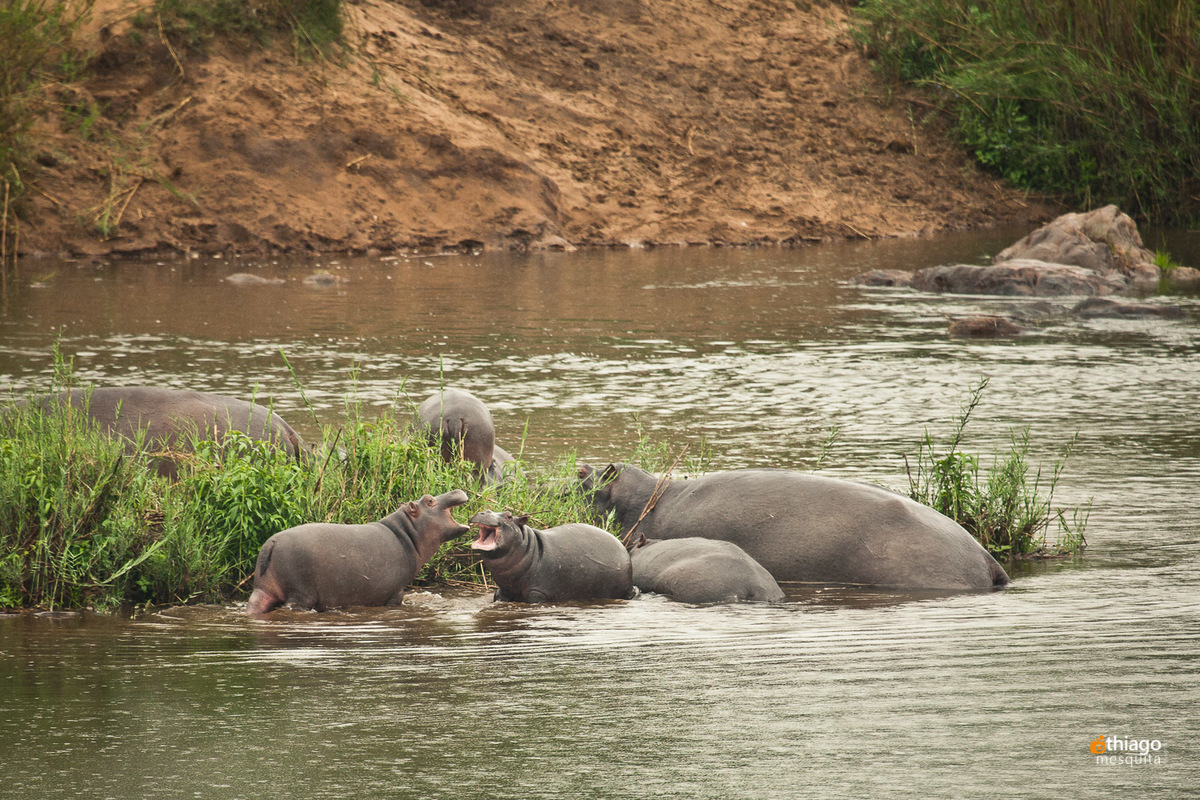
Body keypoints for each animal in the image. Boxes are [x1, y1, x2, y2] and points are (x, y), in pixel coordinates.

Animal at [247, 489, 470, 615]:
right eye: (429, 500)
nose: (456, 489)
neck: (407, 533)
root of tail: (272, 542)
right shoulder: (395, 593)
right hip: (300, 593)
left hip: (263, 589)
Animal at [468, 510, 635, 603]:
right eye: (487, 509)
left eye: (509, 516)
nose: (483, 513)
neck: (528, 547)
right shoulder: (505, 589)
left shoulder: (537, 592)